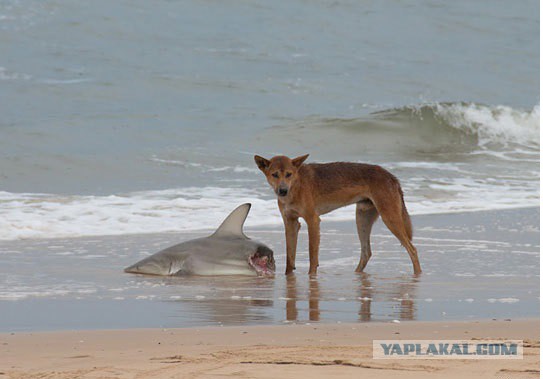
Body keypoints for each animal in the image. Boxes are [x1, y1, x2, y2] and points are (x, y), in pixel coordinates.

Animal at [253, 154, 422, 276]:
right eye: (274, 174)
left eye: (288, 174)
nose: (282, 191)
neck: (296, 186)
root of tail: (392, 177)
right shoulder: (291, 222)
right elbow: (290, 256)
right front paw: (288, 276)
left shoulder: (313, 220)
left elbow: (312, 255)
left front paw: (311, 277)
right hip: (362, 219)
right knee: (366, 252)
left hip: (389, 218)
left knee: (412, 249)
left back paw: (418, 275)